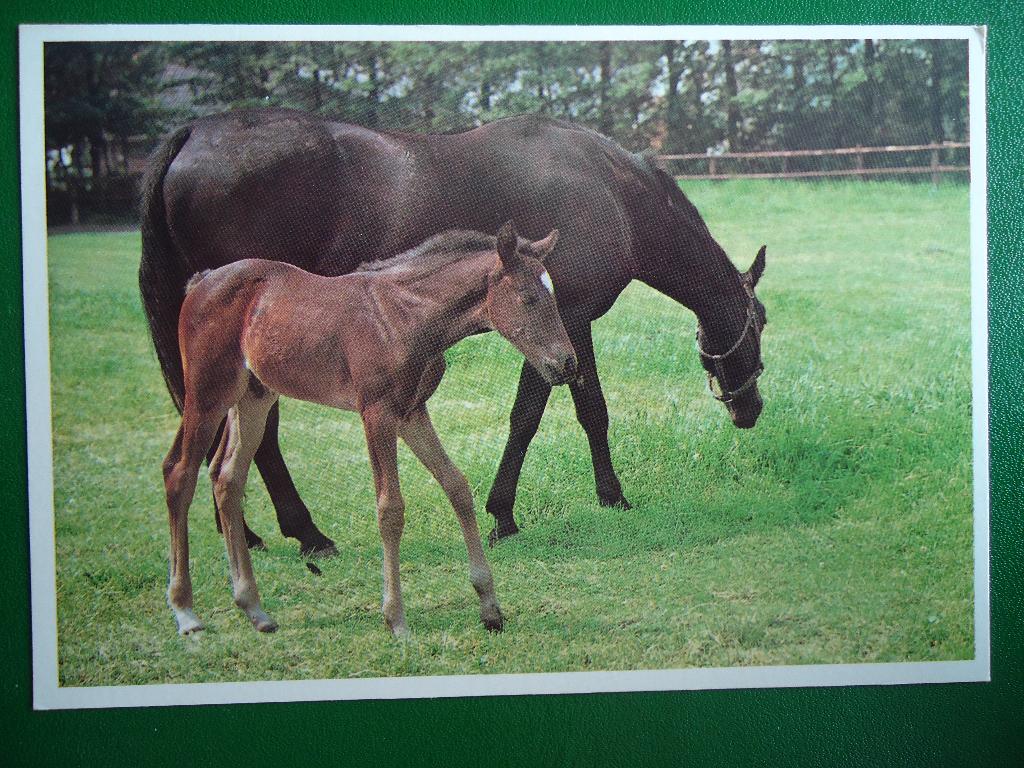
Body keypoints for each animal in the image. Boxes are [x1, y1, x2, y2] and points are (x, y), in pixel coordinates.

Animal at [140, 108, 768, 556]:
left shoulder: (559, 327)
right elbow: (563, 411)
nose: (751, 409)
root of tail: (193, 133)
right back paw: (305, 535)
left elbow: (555, 410)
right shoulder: (571, 319)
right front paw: (541, 509)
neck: (611, 191)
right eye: (760, 322)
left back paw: (251, 532)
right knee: (256, 436)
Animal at [163, 222, 576, 636]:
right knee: (179, 473)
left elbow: (456, 485)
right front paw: (396, 619)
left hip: (253, 397)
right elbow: (390, 507)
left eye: (555, 296)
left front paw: (490, 607)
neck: (403, 317)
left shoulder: (411, 413)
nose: (567, 364)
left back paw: (253, 608)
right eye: (528, 298)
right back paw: (185, 610)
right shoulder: (376, 413)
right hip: (206, 395)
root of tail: (200, 282)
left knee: (227, 478)